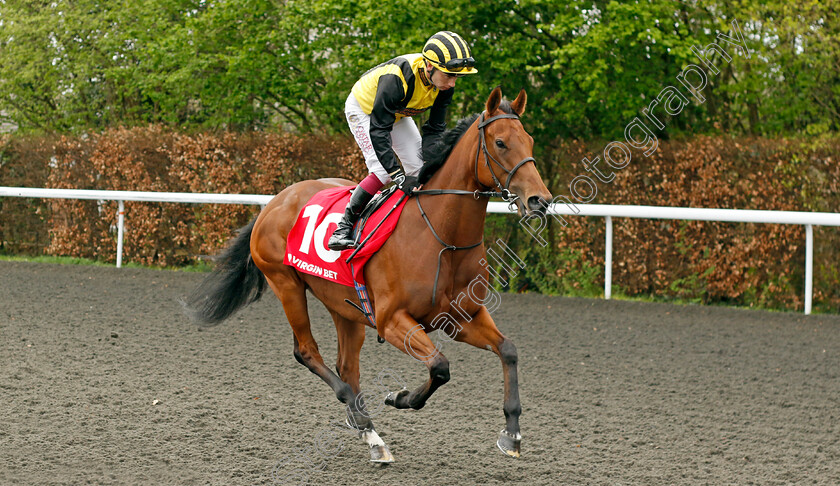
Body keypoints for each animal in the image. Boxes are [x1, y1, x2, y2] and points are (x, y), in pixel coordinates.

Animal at [183, 87, 552, 464]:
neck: (442, 236)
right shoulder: (392, 321)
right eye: (500, 142)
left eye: (529, 140)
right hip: (286, 284)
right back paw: (363, 421)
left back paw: (368, 432)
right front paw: (399, 397)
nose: (540, 200)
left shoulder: (461, 317)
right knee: (307, 352)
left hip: (343, 305)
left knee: (346, 364)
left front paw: (511, 433)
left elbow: (508, 350)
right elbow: (439, 366)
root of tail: (275, 201)